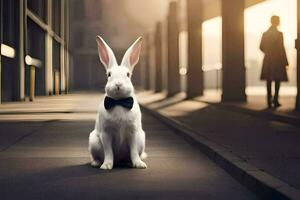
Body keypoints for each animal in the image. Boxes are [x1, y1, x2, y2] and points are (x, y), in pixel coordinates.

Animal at [87, 35, 147, 170]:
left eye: (128, 74)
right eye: (109, 74)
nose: (118, 84)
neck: (119, 102)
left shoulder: (133, 132)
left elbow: (133, 151)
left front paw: (139, 164)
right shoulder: (106, 133)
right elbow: (108, 152)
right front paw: (106, 166)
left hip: (141, 139)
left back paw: (129, 163)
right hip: (93, 141)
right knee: (97, 156)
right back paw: (96, 163)